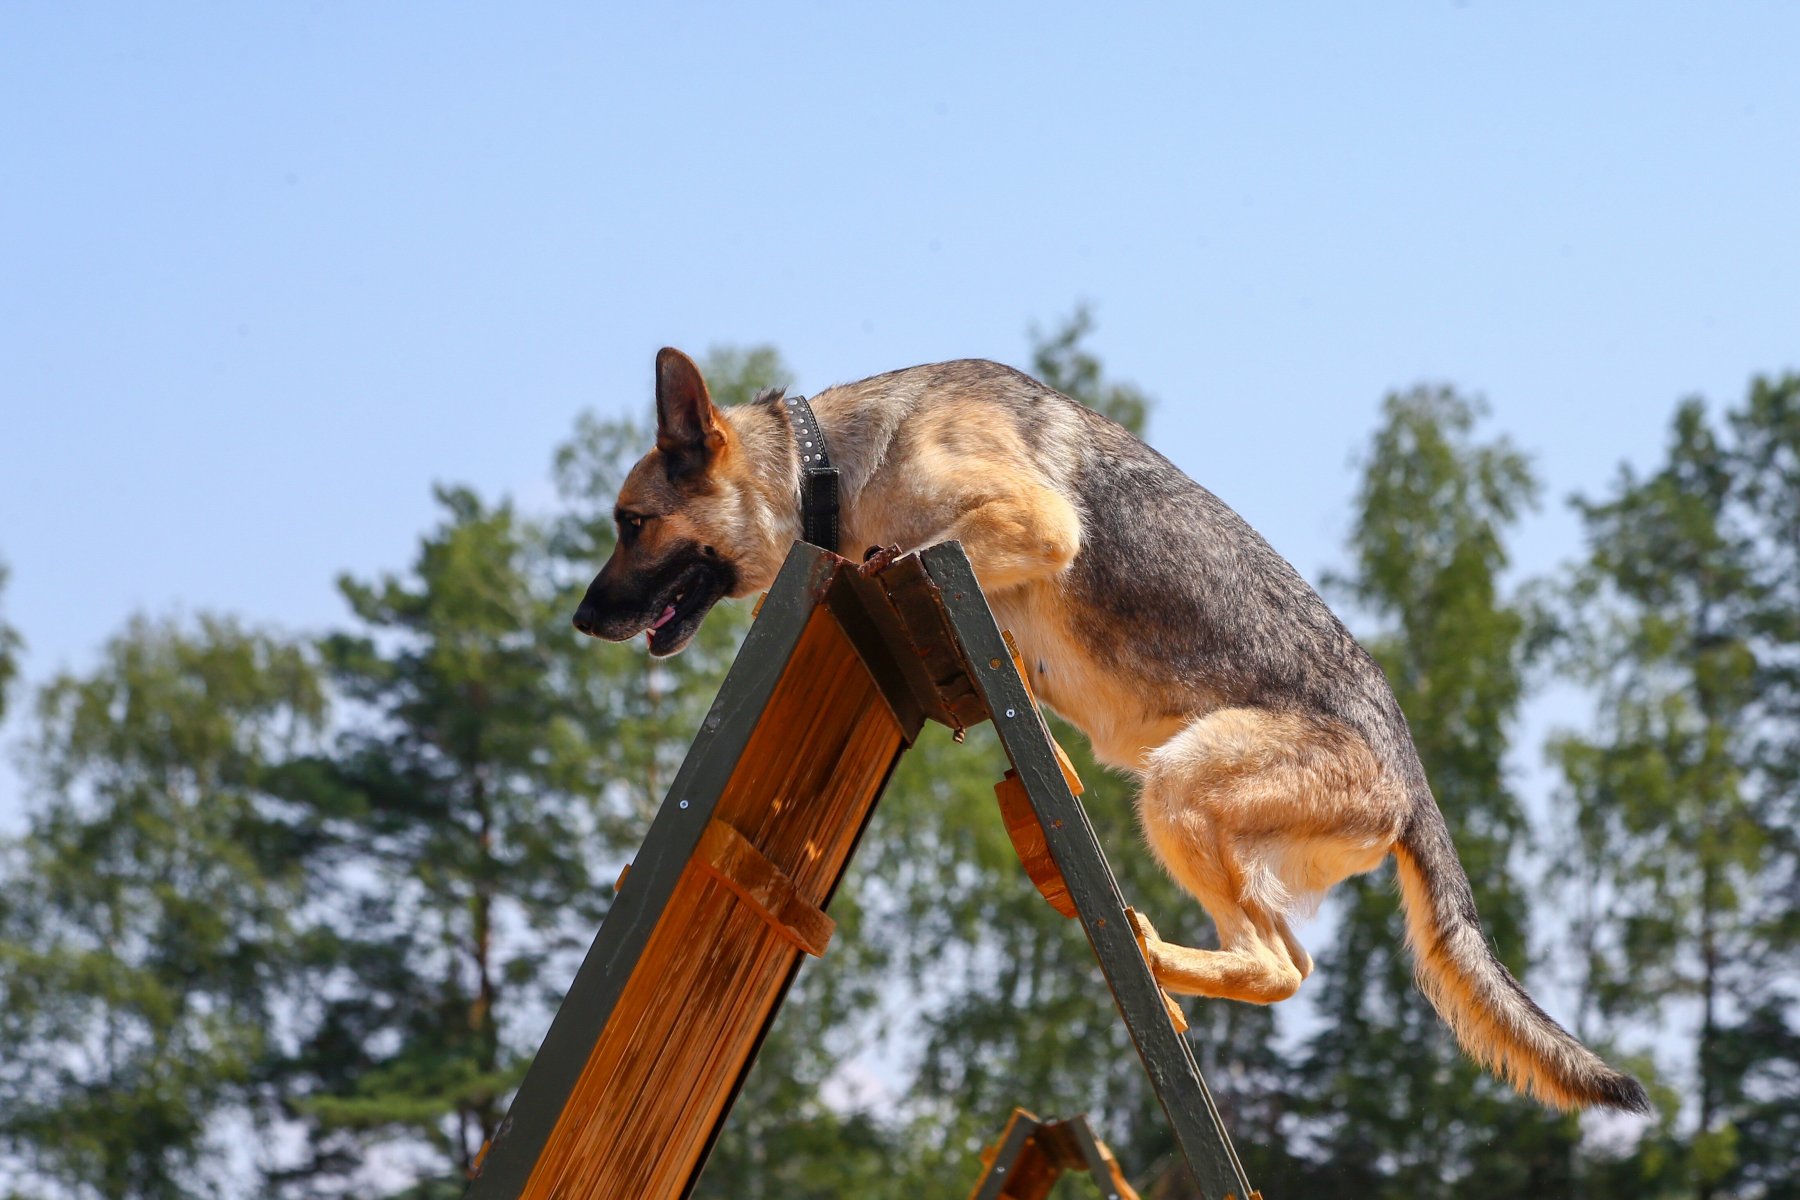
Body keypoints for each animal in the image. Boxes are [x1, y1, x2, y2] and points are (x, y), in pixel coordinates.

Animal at [572, 347, 1648, 1115]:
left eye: (631, 523)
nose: (580, 622)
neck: (829, 460)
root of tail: (1410, 779)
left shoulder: (1028, 521)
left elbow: (913, 548)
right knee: (1287, 965)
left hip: (1180, 786)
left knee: (1279, 965)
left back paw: (1150, 954)